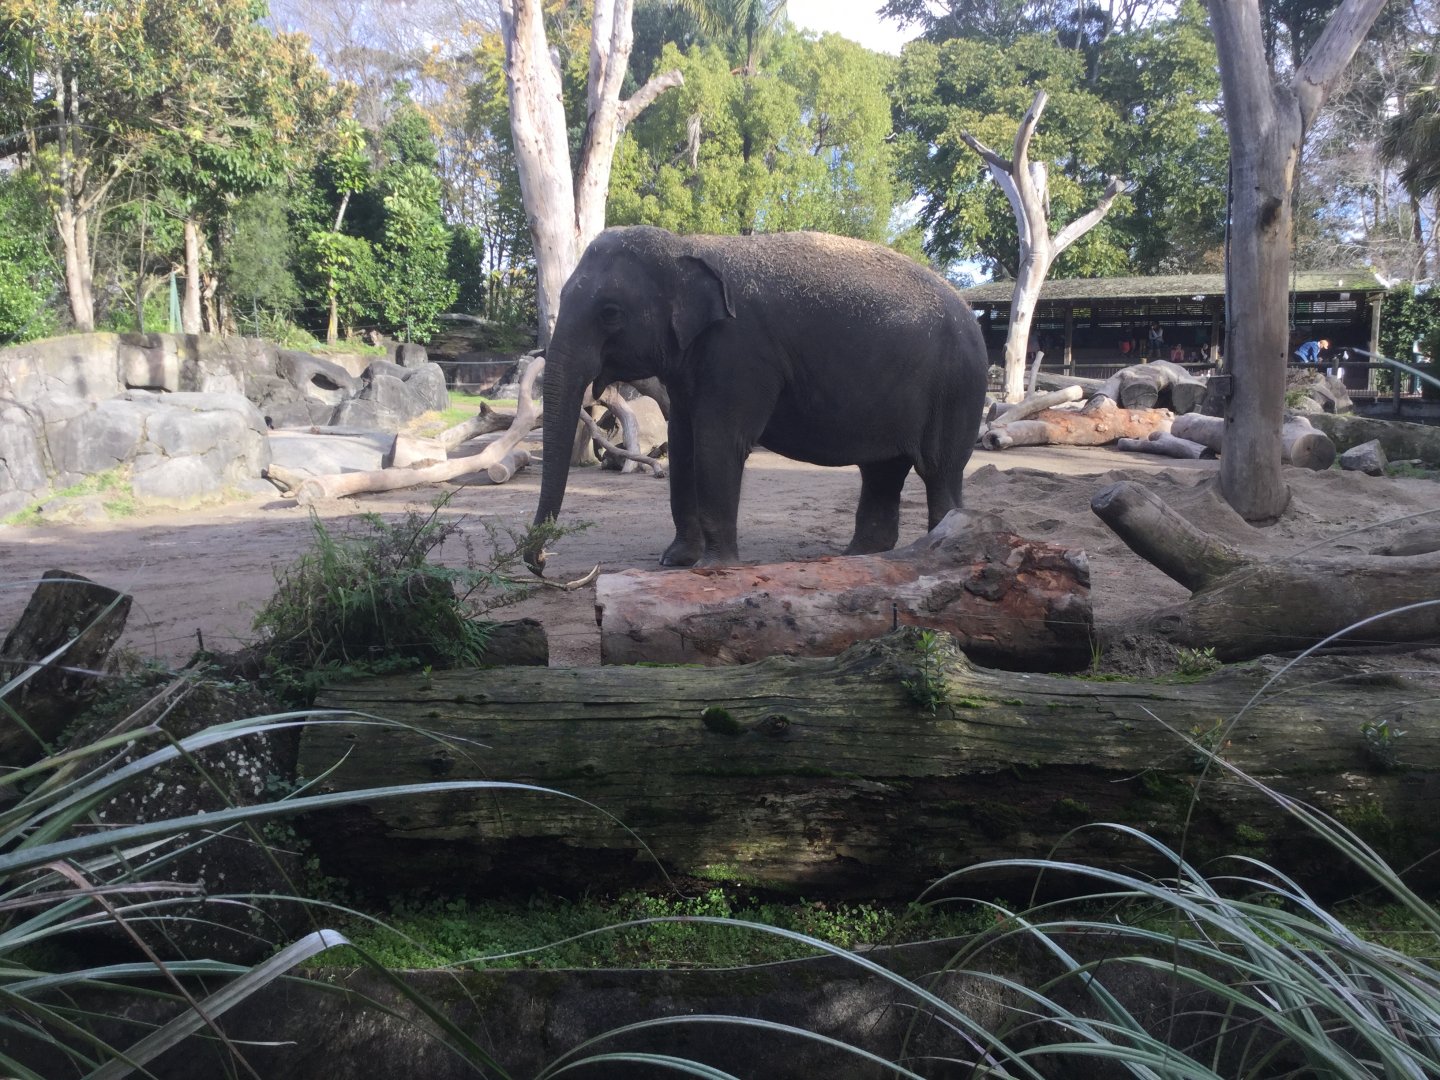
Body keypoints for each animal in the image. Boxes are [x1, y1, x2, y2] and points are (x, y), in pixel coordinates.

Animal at [527, 225, 989, 573]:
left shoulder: (740, 351)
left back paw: (937, 550)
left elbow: (717, 443)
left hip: (957, 388)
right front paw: (673, 561)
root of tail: (971, 314)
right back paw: (857, 558)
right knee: (882, 470)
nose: (541, 562)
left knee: (939, 470)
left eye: (610, 313)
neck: (688, 246)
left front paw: (712, 568)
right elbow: (683, 442)